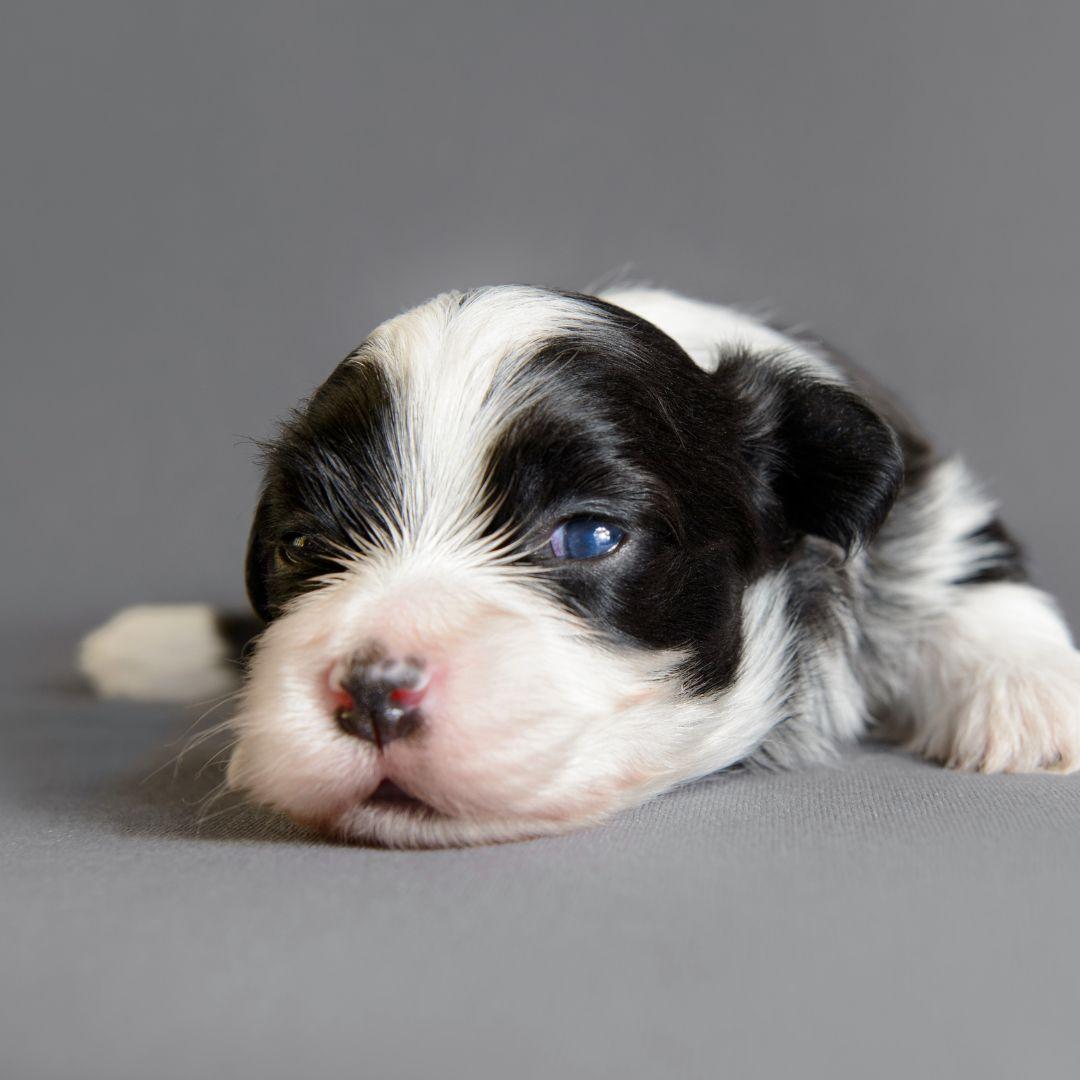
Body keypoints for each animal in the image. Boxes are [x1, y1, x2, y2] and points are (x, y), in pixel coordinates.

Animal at [82, 285, 1080, 842]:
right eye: (302, 546)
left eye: (591, 537)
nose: (371, 692)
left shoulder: (927, 494)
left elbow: (970, 571)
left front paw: (1034, 696)